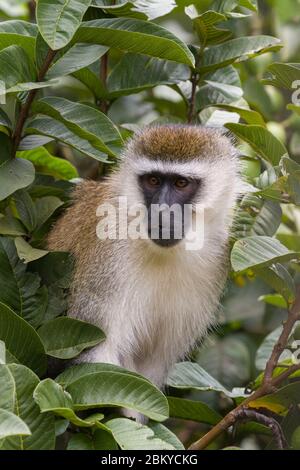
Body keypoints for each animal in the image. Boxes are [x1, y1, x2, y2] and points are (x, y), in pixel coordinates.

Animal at [48, 124, 243, 390]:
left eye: (181, 183)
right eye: (153, 180)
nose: (161, 211)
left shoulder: (216, 258)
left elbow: (152, 366)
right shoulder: (108, 255)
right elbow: (95, 354)